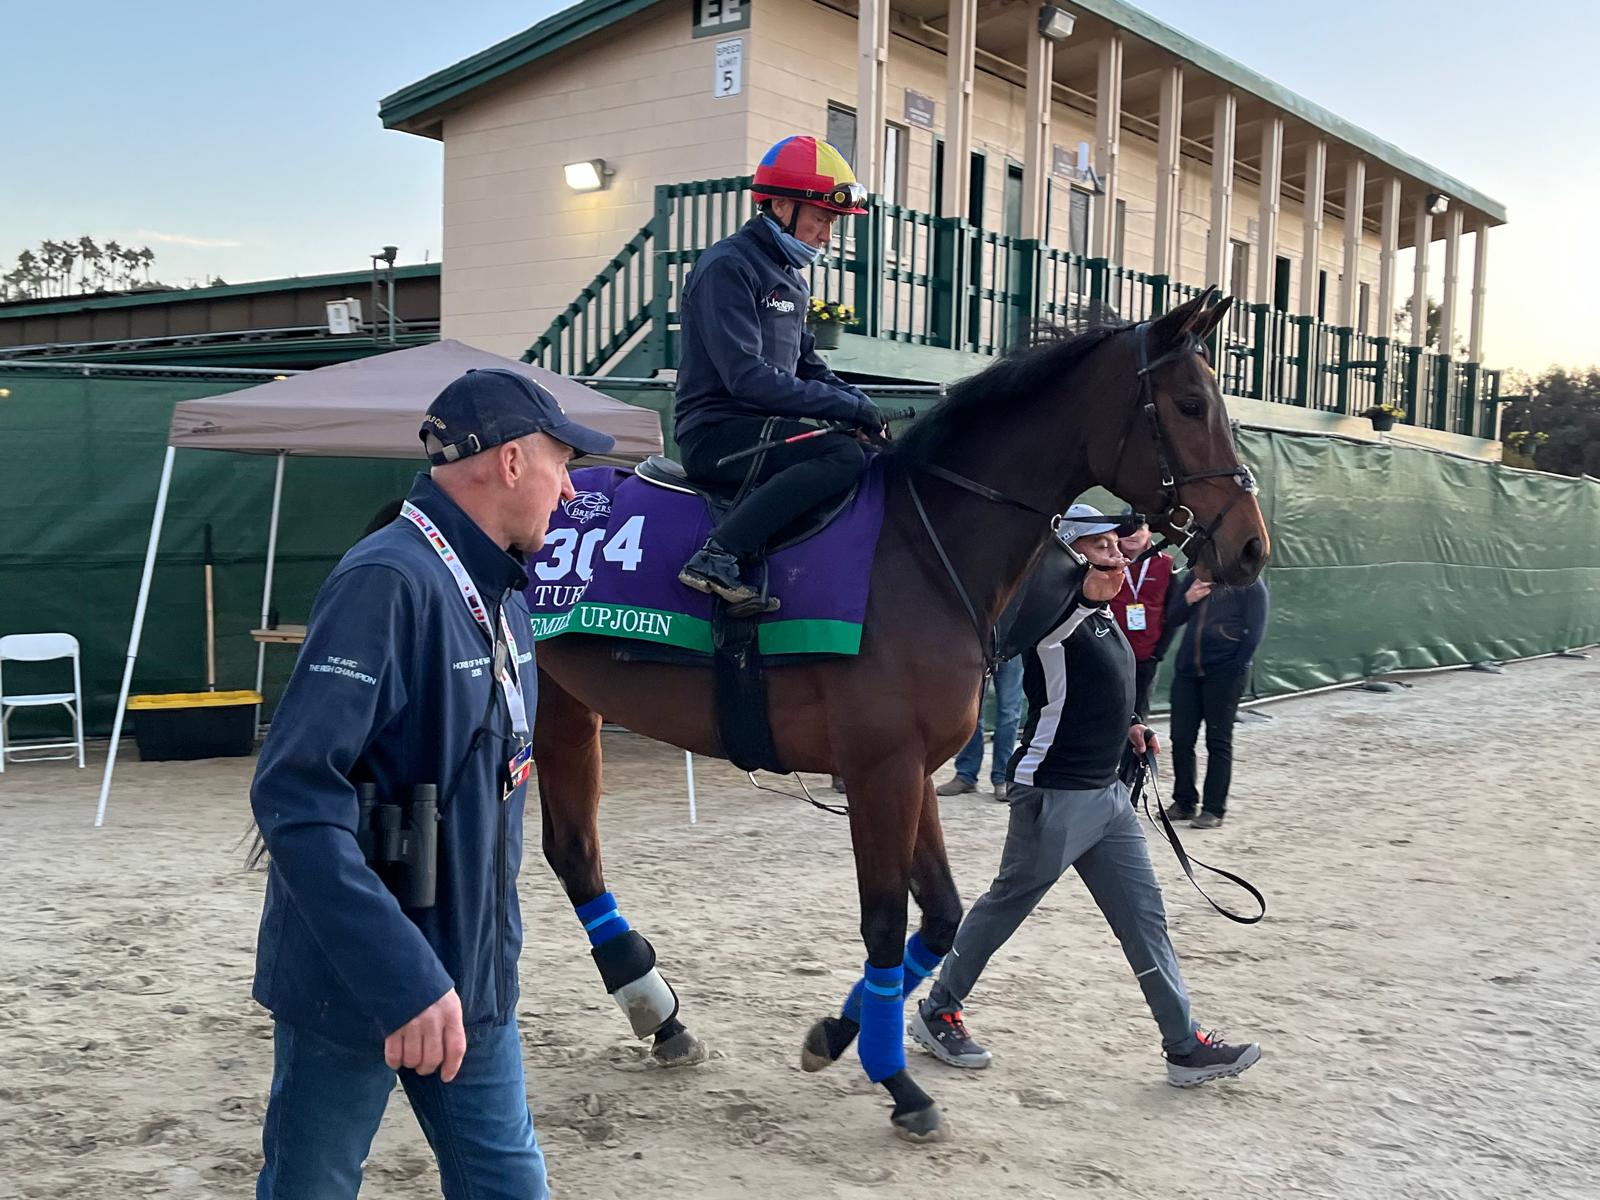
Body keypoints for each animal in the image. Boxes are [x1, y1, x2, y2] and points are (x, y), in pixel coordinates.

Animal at [531, 294, 1267, 1145]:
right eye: (1190, 405)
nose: (1251, 545)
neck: (923, 549)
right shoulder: (878, 771)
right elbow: (884, 922)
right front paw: (898, 1082)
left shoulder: (914, 769)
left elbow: (942, 917)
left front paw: (838, 1033)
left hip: (568, 705)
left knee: (574, 853)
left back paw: (659, 1015)